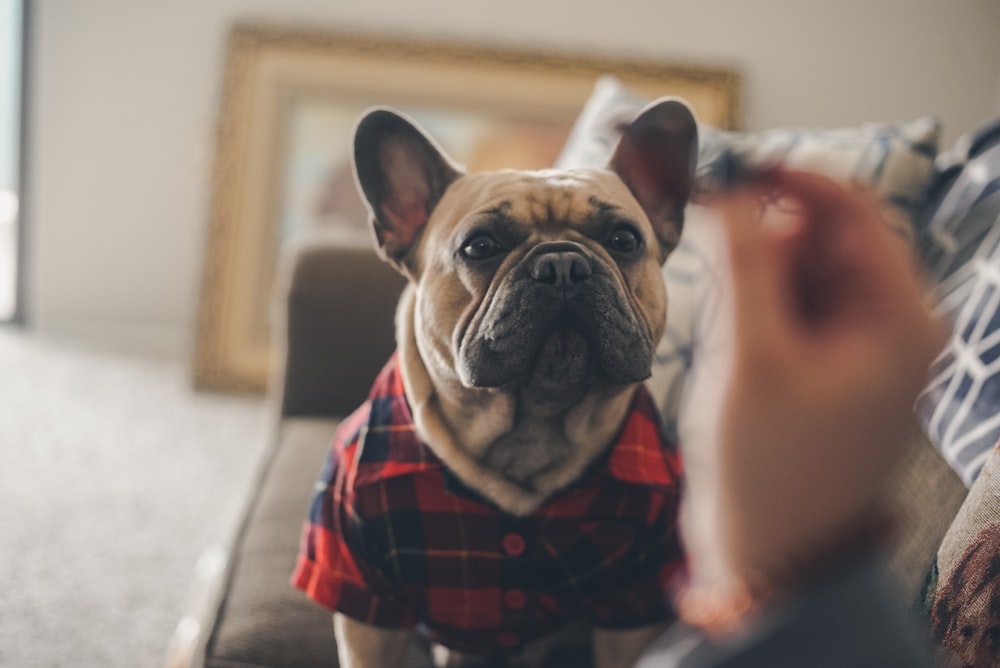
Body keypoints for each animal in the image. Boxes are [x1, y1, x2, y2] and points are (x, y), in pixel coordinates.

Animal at [292, 99, 700, 668]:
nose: (563, 263)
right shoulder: (364, 604)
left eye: (624, 240)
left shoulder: (632, 609)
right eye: (480, 246)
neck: (531, 423)